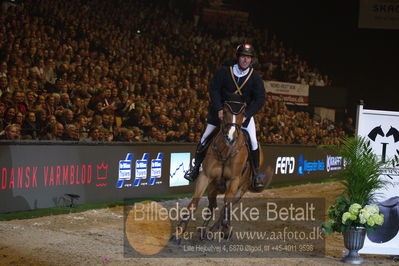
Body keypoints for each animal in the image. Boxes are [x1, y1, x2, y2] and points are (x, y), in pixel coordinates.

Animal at [170, 99, 274, 243]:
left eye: (243, 112)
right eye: (224, 111)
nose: (230, 138)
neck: (226, 150)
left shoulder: (233, 180)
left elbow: (225, 206)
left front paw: (225, 229)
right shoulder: (205, 177)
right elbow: (194, 203)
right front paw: (179, 232)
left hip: (241, 189)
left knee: (226, 207)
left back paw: (213, 231)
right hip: (213, 187)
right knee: (212, 206)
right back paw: (204, 231)